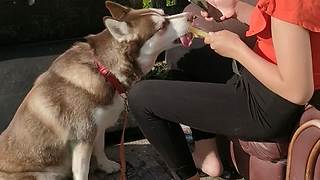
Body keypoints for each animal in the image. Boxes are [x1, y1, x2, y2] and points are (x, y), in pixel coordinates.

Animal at [0, 1, 194, 180]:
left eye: (164, 13)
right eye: (161, 26)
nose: (191, 15)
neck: (104, 70)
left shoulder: (98, 127)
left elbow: (100, 147)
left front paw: (105, 165)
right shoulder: (83, 138)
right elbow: (82, 171)